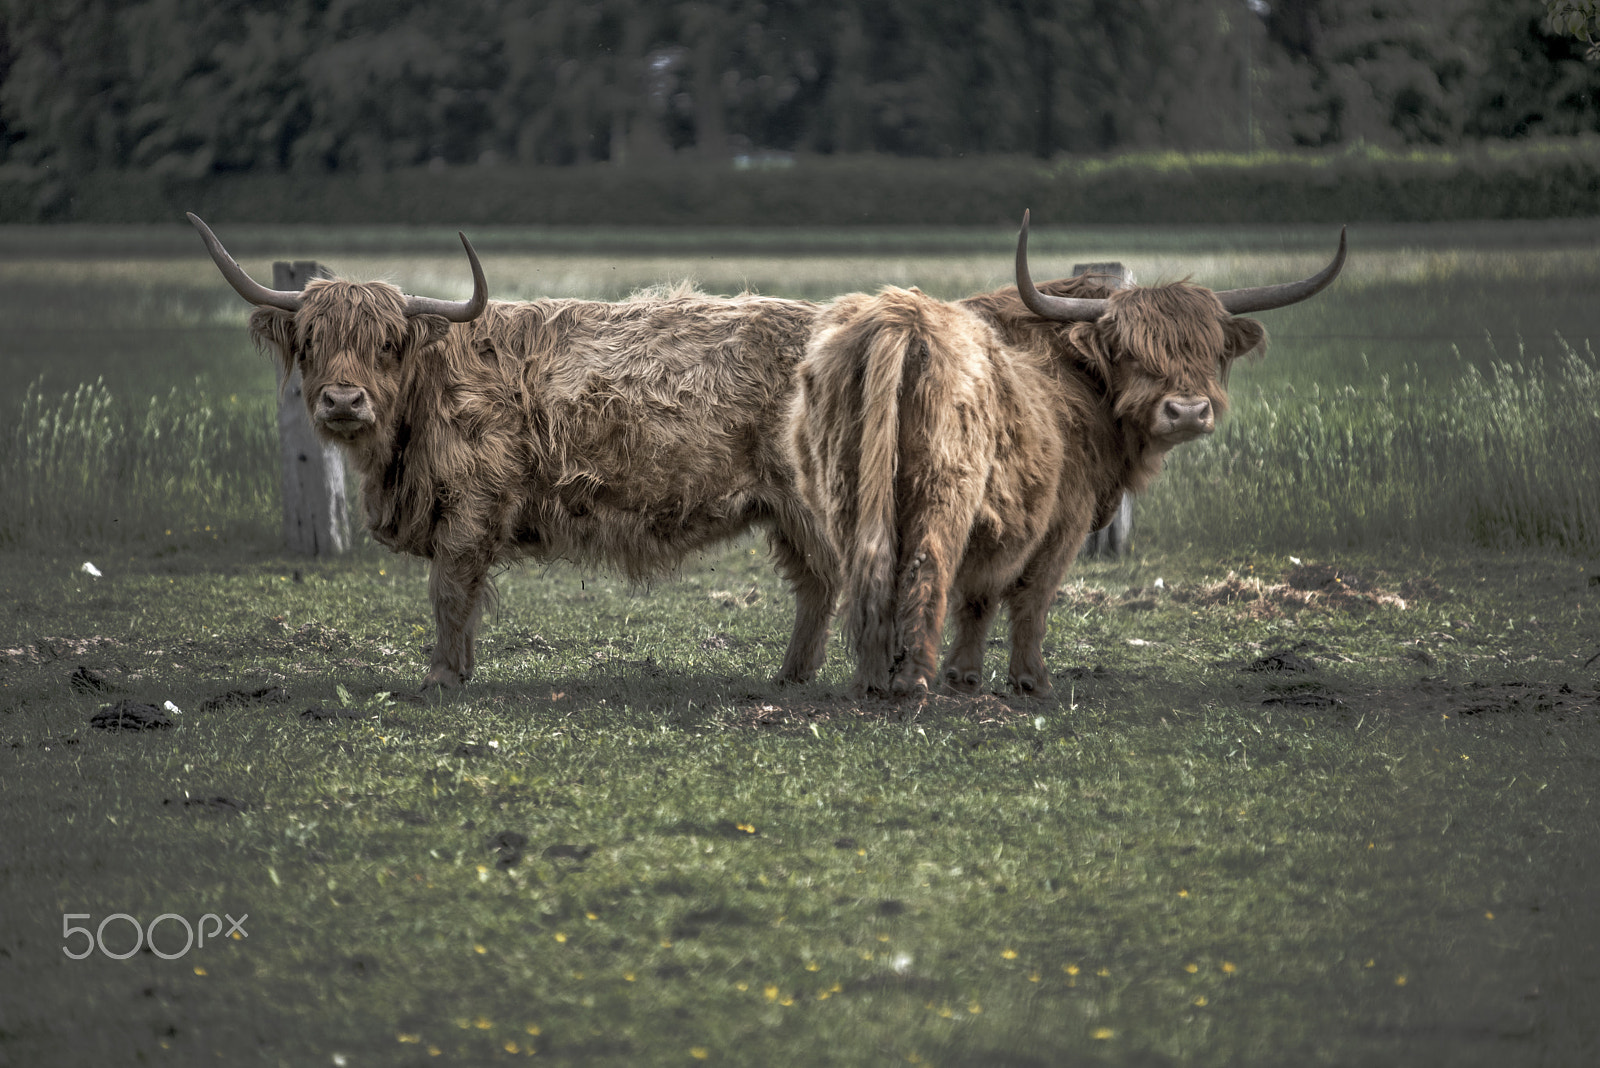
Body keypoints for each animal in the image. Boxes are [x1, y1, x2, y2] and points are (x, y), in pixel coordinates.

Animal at [192, 214, 832, 693]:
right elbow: (461, 596)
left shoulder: (471, 504)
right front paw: (460, 670)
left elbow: (450, 590)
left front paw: (441, 677)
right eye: (311, 342)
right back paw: (791, 676)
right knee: (816, 584)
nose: (344, 400)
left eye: (389, 344)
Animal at [793, 214, 1344, 700]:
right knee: (927, 567)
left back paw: (871, 678)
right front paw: (1030, 680)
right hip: (945, 490)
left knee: (868, 568)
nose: (1187, 411)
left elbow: (980, 598)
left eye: (1209, 350)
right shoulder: (1065, 518)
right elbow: (1031, 597)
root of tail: (904, 319)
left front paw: (966, 676)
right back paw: (912, 682)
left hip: (848, 490)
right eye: (1130, 352)